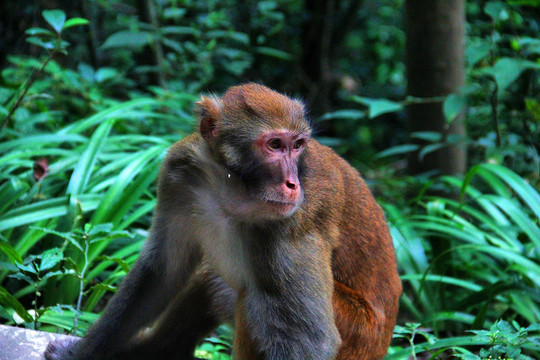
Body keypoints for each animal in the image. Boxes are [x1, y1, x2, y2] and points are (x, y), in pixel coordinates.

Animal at [45, 83, 400, 360]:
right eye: (275, 145)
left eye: (298, 145)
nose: (292, 184)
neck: (235, 190)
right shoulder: (180, 172)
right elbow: (162, 272)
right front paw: (81, 353)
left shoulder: (297, 219)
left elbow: (309, 339)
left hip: (356, 332)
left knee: (257, 297)